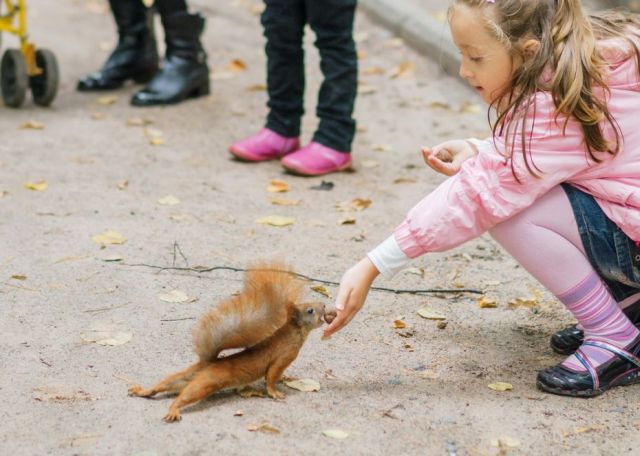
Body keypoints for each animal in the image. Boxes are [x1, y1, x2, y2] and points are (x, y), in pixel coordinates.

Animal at [127, 262, 338, 422]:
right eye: (310, 310)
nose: (324, 305)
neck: (294, 333)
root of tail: (208, 363)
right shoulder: (283, 356)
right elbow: (271, 376)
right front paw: (275, 392)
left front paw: (285, 379)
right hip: (208, 382)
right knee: (185, 395)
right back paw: (173, 409)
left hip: (187, 376)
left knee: (165, 384)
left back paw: (142, 391)